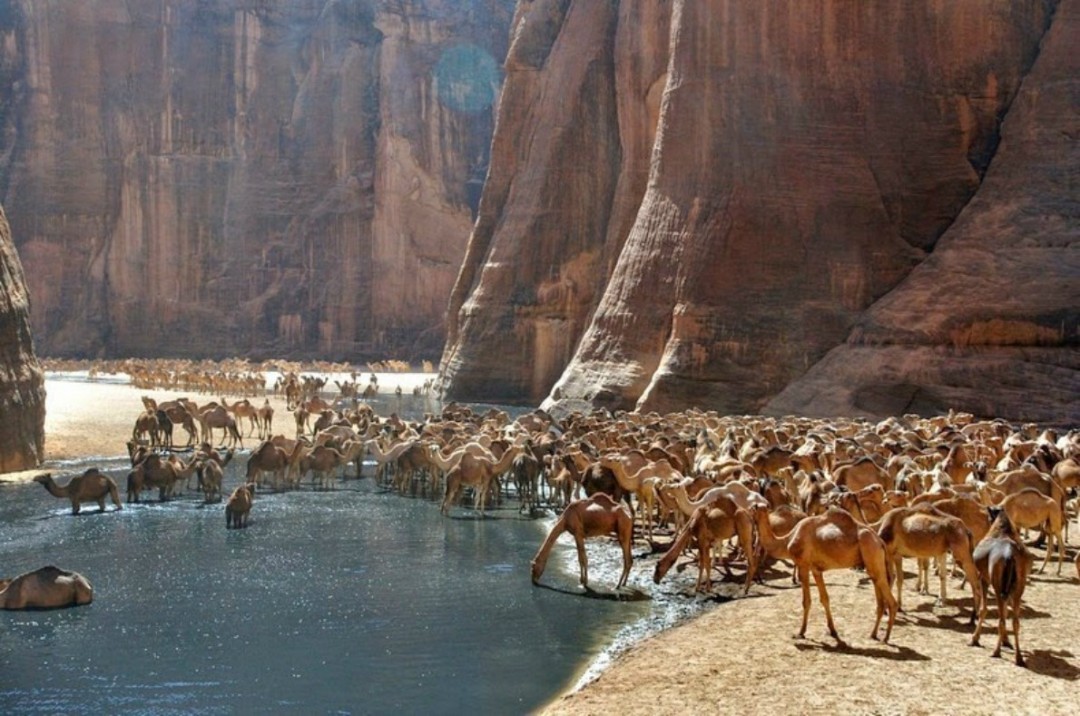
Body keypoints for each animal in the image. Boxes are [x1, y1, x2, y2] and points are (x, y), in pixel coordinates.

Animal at [790, 509, 898, 643]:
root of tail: (880, 542)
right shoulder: (816, 570)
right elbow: (824, 598)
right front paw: (832, 631)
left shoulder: (803, 565)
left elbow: (806, 601)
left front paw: (800, 633)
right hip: (875, 566)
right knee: (880, 600)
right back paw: (873, 634)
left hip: (872, 552)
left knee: (892, 602)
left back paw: (886, 637)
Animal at [972, 509, 1028, 665]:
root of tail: (1009, 556)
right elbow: (1006, 612)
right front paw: (1006, 641)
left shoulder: (983, 578)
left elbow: (984, 609)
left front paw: (974, 639)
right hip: (1019, 586)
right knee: (1015, 621)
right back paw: (1019, 657)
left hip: (997, 585)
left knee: (1001, 619)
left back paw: (996, 652)